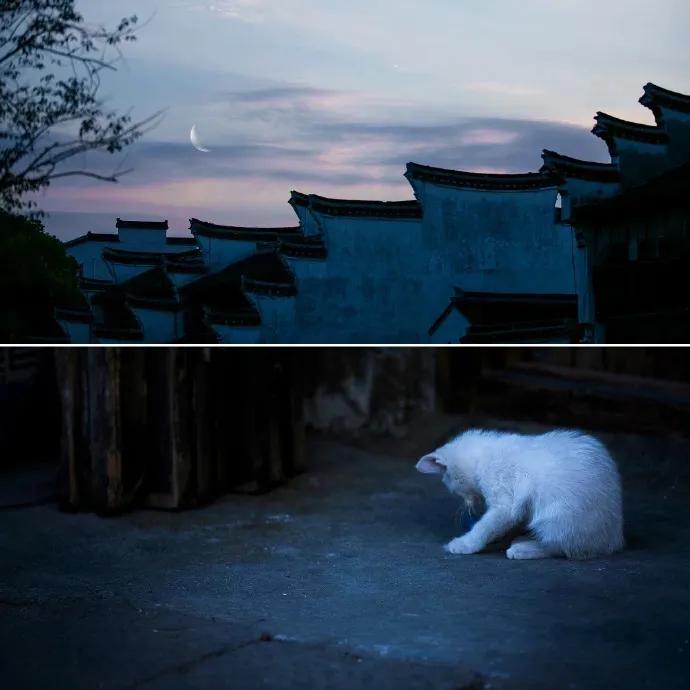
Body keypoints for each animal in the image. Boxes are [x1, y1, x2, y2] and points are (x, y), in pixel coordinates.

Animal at [414, 430, 624, 560]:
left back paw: (525, 548)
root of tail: (614, 540)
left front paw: (465, 544)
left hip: (557, 515)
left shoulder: (505, 503)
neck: (482, 456)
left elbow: (485, 526)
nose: (468, 503)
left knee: (559, 546)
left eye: (453, 487)